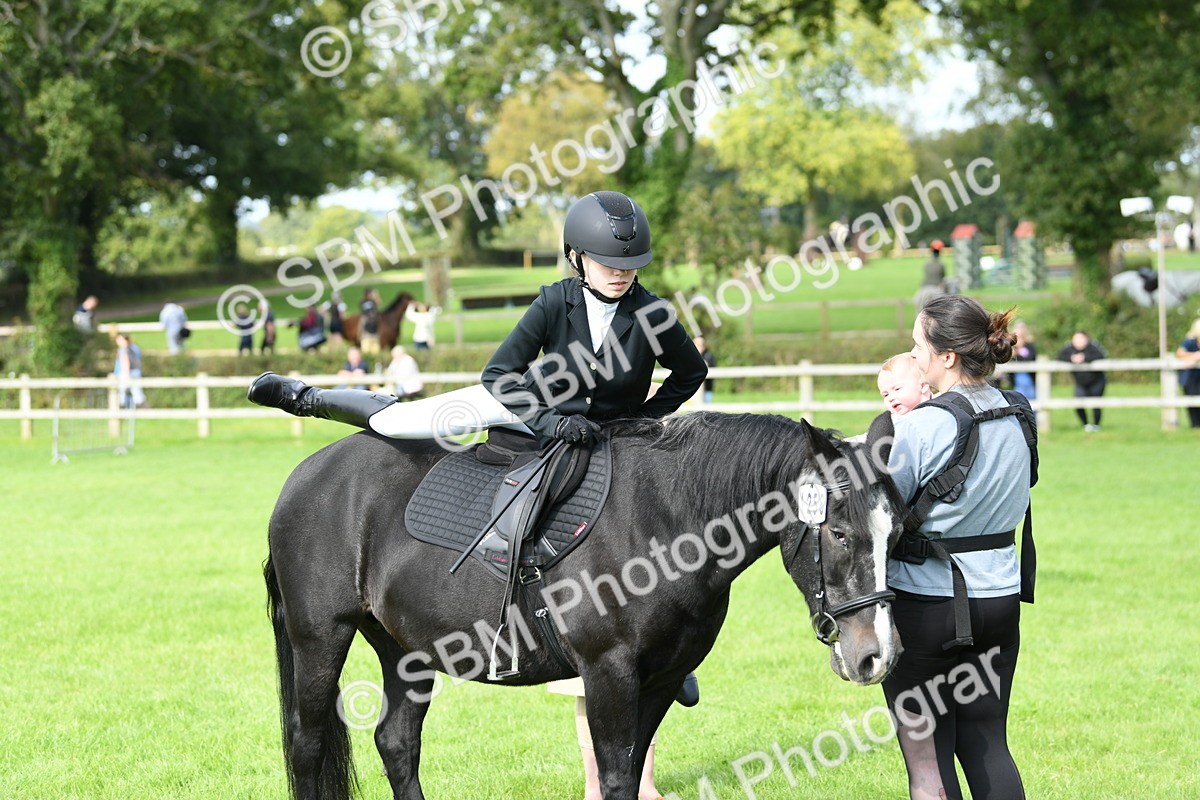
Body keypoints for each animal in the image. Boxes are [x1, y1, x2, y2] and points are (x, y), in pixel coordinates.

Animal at [264, 411, 906, 800]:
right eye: (840, 534)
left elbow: (631, 772)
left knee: (397, 743)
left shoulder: (660, 680)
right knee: (307, 742)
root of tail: (302, 478)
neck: (665, 520)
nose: (876, 655)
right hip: (320, 639)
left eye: (896, 532)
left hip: (406, 652)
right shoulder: (608, 673)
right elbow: (616, 776)